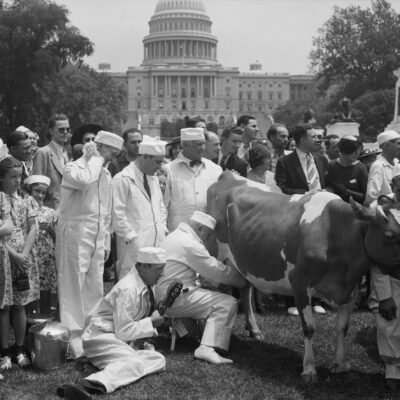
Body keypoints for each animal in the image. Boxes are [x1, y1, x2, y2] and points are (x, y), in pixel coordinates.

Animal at [208, 170, 400, 382]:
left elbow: (343, 327)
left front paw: (341, 364)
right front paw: (309, 369)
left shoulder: (353, 288)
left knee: (245, 288)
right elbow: (309, 327)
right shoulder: (299, 283)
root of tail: (229, 175)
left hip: (243, 260)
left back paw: (254, 330)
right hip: (212, 251)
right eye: (389, 235)